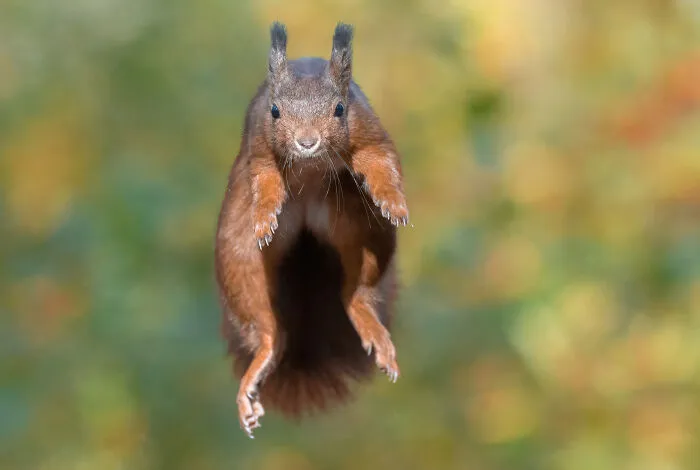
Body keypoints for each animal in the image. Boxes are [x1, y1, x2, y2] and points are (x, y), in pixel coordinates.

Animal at [214, 21, 410, 438]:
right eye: (275, 110)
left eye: (339, 109)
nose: (307, 142)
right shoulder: (260, 145)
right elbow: (264, 178)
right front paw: (264, 216)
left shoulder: (367, 129)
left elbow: (382, 160)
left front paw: (393, 201)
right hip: (240, 263)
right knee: (267, 331)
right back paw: (258, 366)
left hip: (365, 235)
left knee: (356, 293)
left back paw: (370, 326)